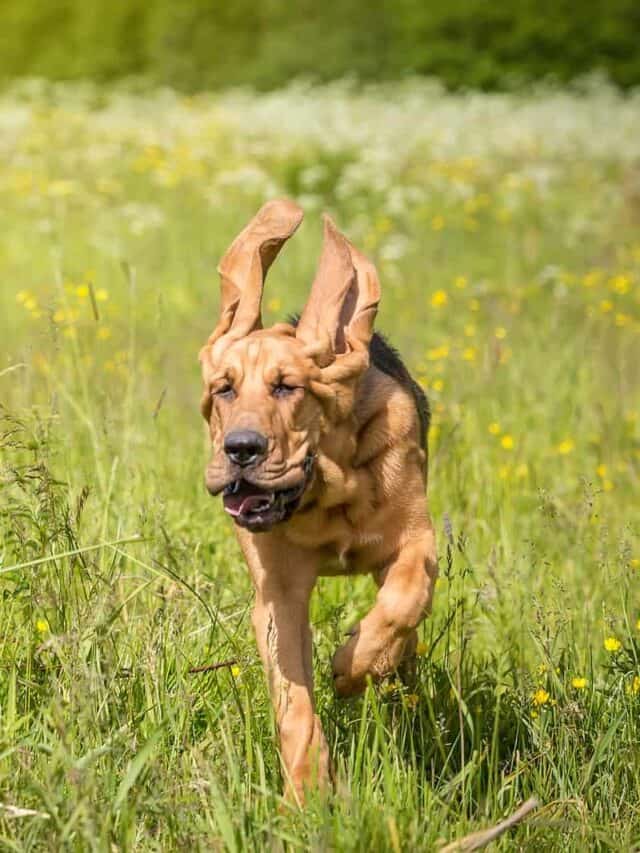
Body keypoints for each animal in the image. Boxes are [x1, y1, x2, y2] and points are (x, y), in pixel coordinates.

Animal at [199, 198, 440, 800]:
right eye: (224, 389)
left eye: (289, 387)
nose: (241, 449)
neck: (325, 498)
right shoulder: (277, 596)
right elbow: (295, 704)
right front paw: (308, 796)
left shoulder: (418, 541)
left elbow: (402, 602)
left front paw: (352, 666)